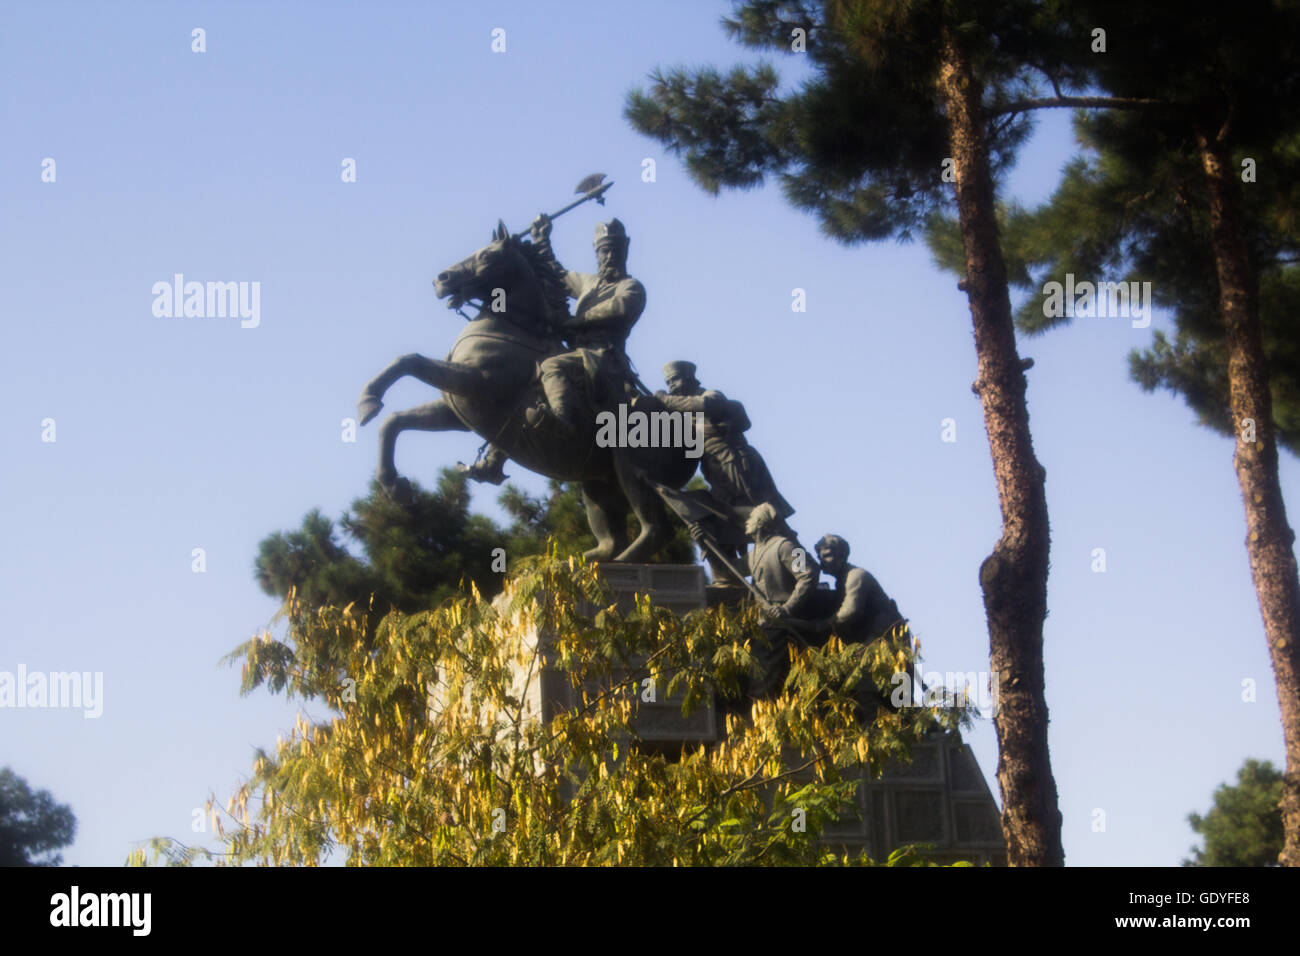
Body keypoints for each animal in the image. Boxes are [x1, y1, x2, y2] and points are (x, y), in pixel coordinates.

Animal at [356, 221, 702, 564]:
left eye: (487, 256)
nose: (441, 280)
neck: (510, 327)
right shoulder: (457, 410)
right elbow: (395, 421)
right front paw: (395, 486)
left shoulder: (477, 382)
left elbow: (408, 361)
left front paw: (367, 401)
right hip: (597, 481)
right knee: (610, 534)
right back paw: (589, 559)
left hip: (630, 465)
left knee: (656, 528)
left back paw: (621, 561)